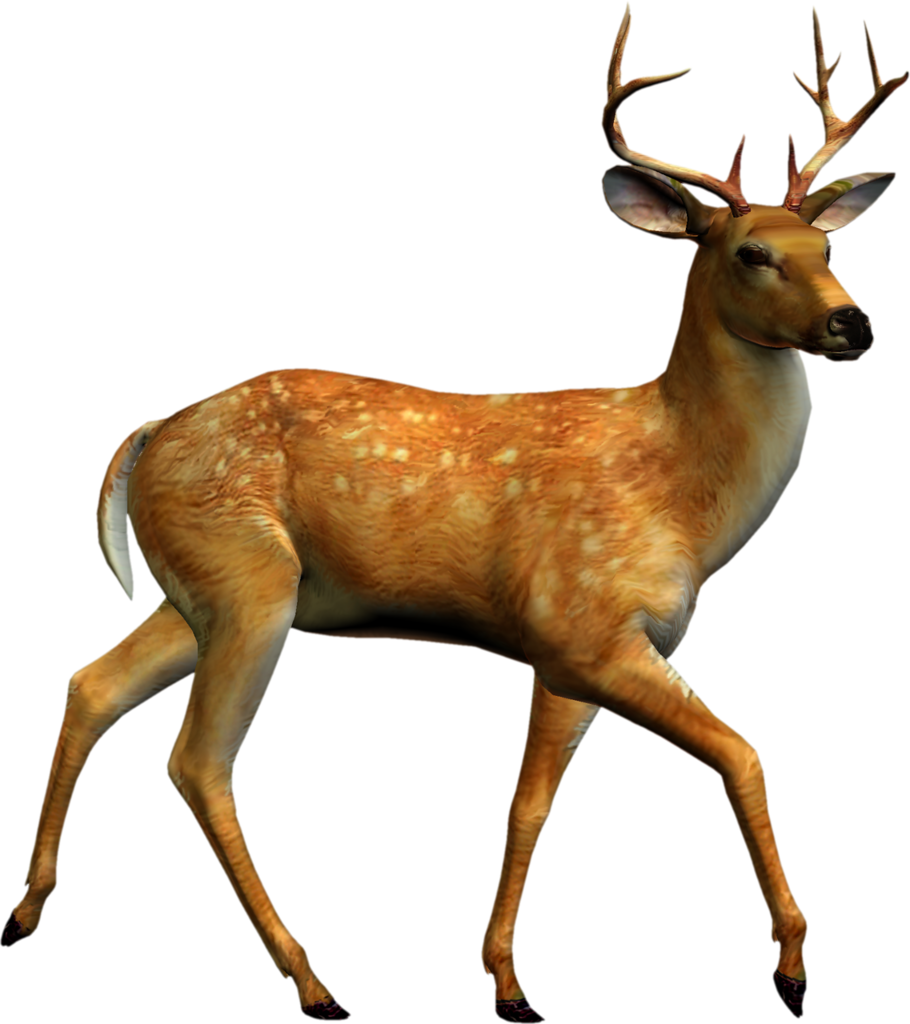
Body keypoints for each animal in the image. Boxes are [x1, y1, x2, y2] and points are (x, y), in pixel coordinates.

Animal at [4, 2, 905, 1020]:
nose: (856, 323)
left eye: (830, 248)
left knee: (92, 683)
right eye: (753, 252)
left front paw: (505, 975)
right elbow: (743, 752)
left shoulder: (561, 657)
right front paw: (792, 959)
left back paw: (29, 910)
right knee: (198, 760)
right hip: (247, 581)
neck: (682, 495)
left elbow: (528, 803)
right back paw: (312, 978)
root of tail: (154, 429)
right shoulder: (583, 626)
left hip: (190, 587)